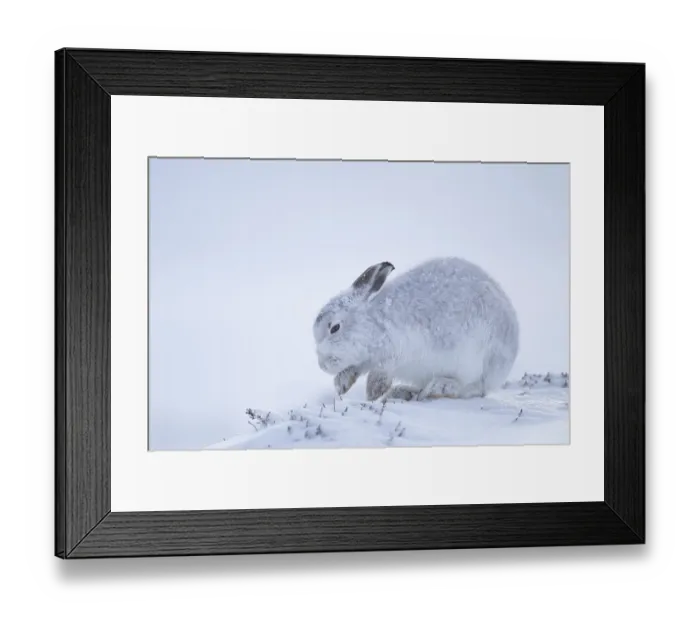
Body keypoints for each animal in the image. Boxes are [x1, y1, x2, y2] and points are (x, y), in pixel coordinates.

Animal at [312, 257, 519, 402]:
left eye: (335, 328)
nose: (322, 366)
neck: (373, 324)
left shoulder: (398, 350)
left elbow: (381, 371)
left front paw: (373, 392)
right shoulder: (363, 361)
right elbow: (354, 369)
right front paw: (341, 385)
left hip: (475, 362)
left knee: (470, 389)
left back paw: (437, 388)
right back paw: (404, 392)